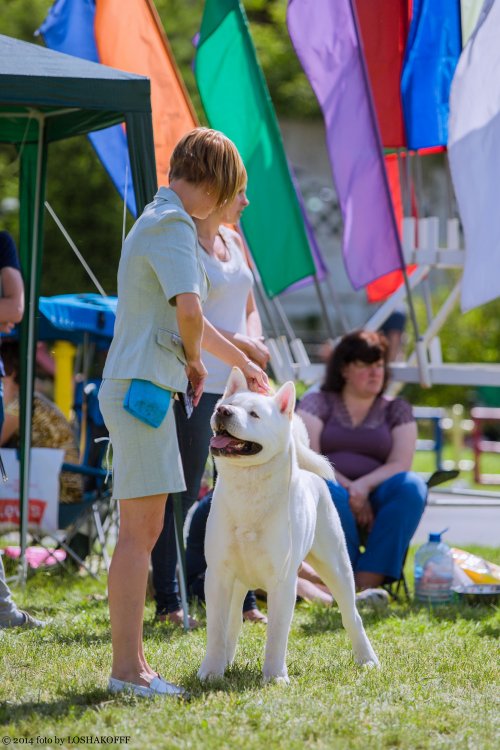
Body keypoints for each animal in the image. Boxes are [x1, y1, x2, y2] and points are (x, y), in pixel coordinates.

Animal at [199, 368, 378, 684]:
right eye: (228, 403)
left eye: (254, 414)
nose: (222, 411)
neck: (248, 487)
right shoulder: (218, 575)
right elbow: (216, 629)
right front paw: (211, 671)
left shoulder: (282, 581)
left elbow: (277, 634)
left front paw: (274, 677)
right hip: (238, 582)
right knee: (232, 623)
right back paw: (226, 660)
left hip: (337, 567)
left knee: (351, 615)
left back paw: (366, 659)